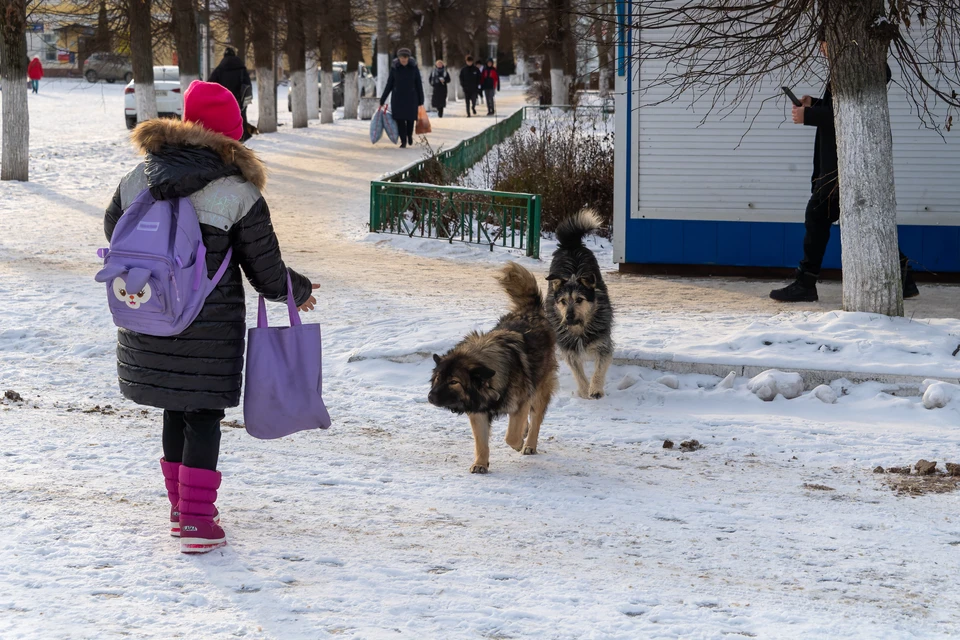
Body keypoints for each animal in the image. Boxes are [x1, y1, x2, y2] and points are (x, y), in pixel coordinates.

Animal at [430, 262, 560, 476]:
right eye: (438, 378)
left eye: (454, 382)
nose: (430, 397)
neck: (490, 383)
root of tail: (531, 311)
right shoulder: (478, 412)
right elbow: (481, 443)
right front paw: (481, 464)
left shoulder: (521, 402)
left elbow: (511, 437)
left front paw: (519, 443)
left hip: (540, 389)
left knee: (536, 419)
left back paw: (529, 444)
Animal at [544, 210, 612, 400]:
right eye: (562, 301)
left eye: (580, 299)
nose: (568, 317)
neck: (580, 328)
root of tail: (571, 244)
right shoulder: (568, 348)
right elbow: (577, 371)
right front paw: (583, 390)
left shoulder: (603, 343)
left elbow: (599, 368)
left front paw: (595, 389)